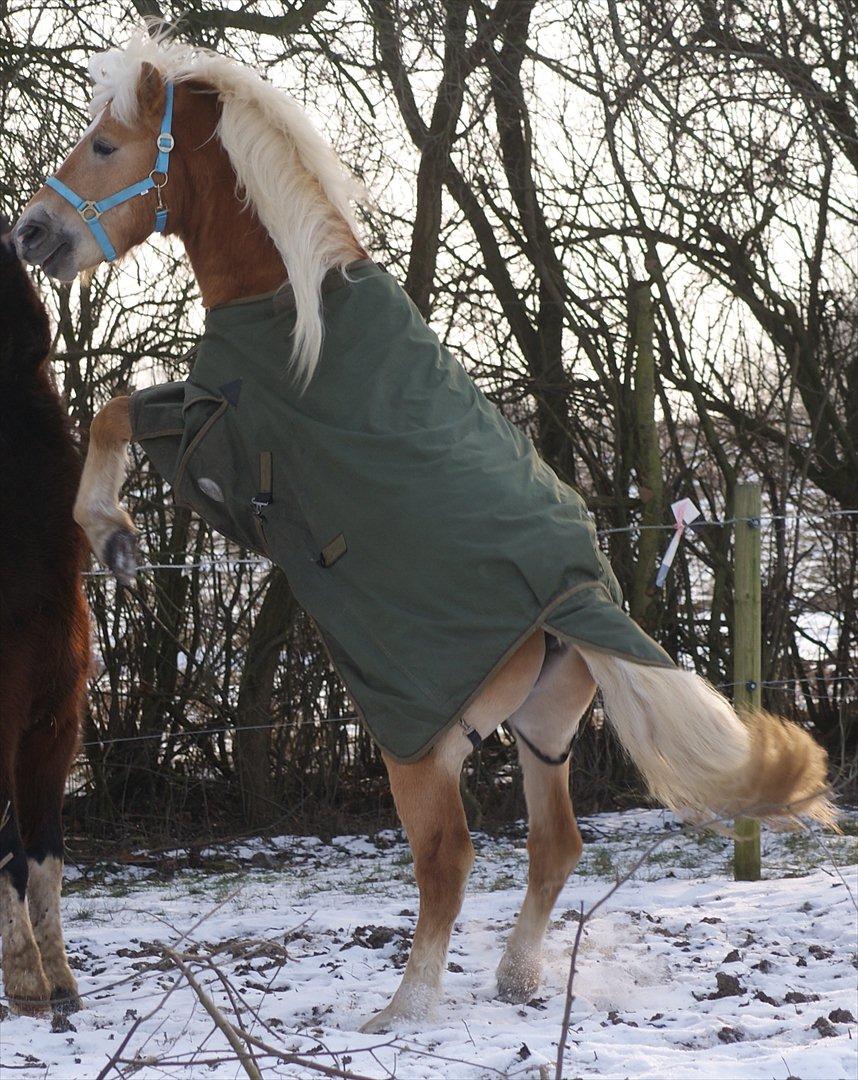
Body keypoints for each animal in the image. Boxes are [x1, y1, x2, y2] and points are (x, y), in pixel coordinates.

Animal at [11, 31, 829, 1028]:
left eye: (103, 145)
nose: (31, 232)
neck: (289, 295)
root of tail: (578, 602)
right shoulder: (208, 419)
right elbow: (120, 408)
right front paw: (117, 534)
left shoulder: (222, 445)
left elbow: (117, 409)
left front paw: (114, 534)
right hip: (542, 733)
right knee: (555, 845)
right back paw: (514, 977)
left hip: (419, 743)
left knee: (449, 857)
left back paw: (405, 1008)